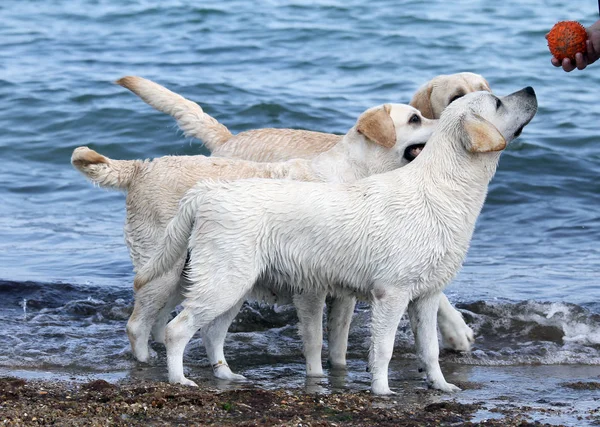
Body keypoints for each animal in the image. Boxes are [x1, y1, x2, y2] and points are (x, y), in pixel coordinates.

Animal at [72, 102, 438, 380]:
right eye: (415, 119)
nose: (443, 118)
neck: (353, 173)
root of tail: (142, 167)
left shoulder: (343, 292)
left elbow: (338, 343)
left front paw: (340, 372)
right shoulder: (310, 289)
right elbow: (314, 340)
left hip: (192, 274)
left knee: (163, 321)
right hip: (166, 271)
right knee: (138, 324)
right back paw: (149, 363)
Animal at [136, 87, 540, 394]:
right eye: (498, 102)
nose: (531, 89)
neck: (441, 187)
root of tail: (205, 193)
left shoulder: (425, 296)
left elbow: (430, 350)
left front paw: (441, 386)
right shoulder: (391, 294)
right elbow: (383, 349)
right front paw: (382, 391)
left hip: (233, 287)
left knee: (210, 333)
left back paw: (227, 375)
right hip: (222, 282)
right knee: (175, 330)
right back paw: (179, 380)